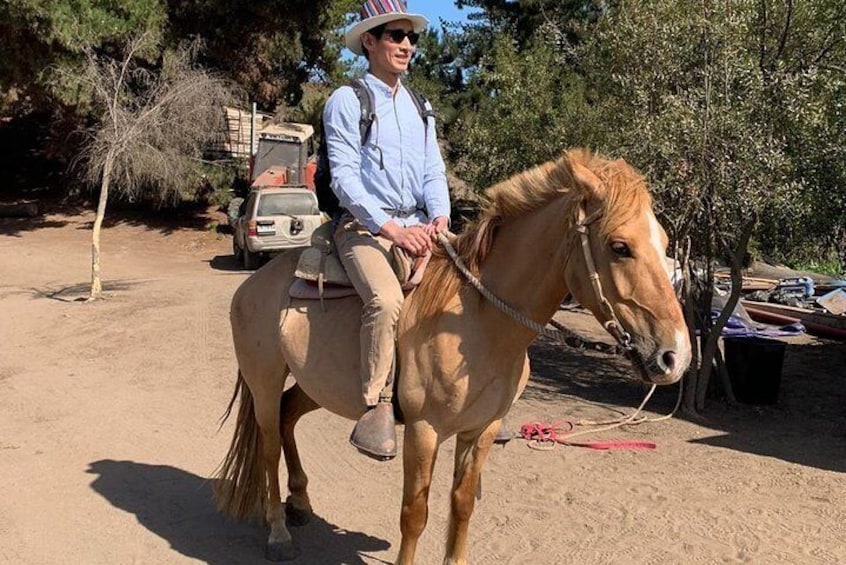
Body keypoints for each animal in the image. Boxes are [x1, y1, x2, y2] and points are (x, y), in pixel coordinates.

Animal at [215, 148, 692, 560]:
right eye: (619, 246)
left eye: (665, 241)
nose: (676, 356)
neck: (480, 324)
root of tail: (254, 284)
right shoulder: (423, 432)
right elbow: (415, 515)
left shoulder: (481, 430)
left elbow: (462, 505)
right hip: (263, 381)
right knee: (268, 445)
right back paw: (278, 534)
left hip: (317, 386)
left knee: (288, 417)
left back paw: (300, 503)